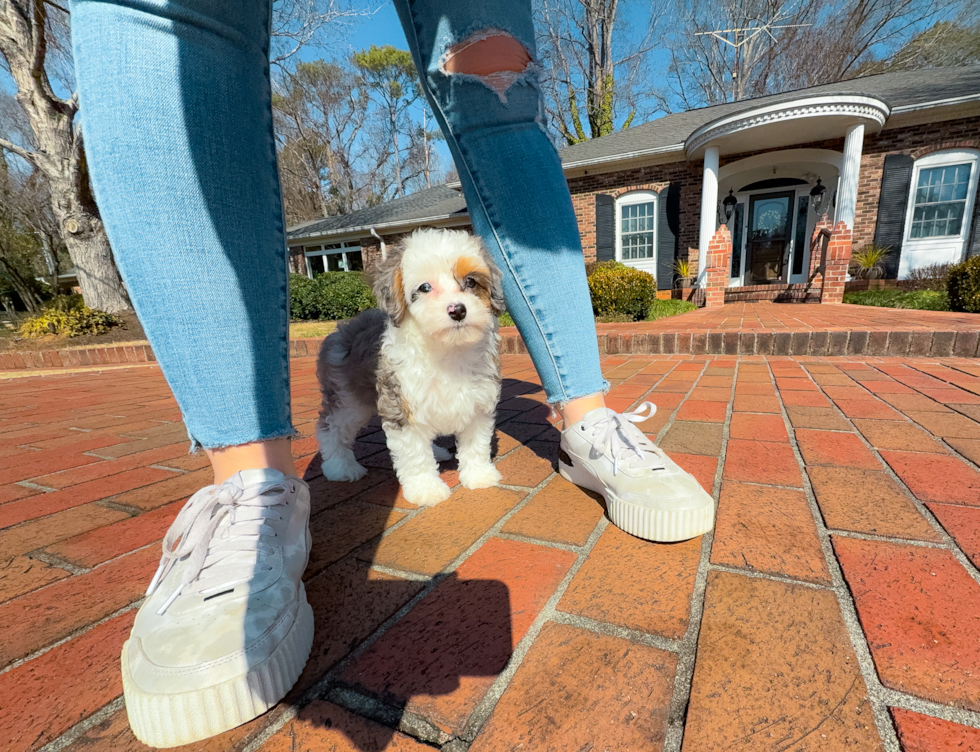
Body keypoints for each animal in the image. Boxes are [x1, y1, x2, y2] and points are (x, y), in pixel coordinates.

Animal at [318, 229, 506, 508]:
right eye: (425, 287)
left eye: (471, 282)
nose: (458, 310)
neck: (447, 349)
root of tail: (346, 326)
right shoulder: (401, 406)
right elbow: (414, 453)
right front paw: (426, 489)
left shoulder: (479, 402)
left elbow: (476, 443)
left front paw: (479, 475)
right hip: (348, 400)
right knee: (331, 429)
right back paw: (340, 468)